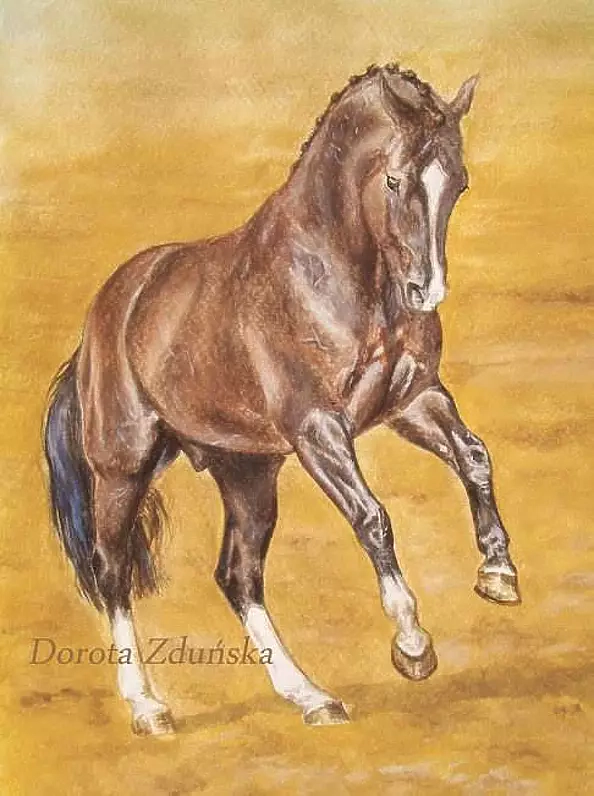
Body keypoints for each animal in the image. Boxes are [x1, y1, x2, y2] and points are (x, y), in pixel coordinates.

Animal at [43, 63, 520, 737]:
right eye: (395, 178)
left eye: (458, 182)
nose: (425, 291)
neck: (336, 275)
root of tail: (103, 322)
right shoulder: (318, 429)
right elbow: (373, 518)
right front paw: (413, 645)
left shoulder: (412, 403)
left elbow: (474, 457)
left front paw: (498, 573)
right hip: (123, 468)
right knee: (112, 571)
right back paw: (148, 708)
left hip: (247, 472)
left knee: (238, 576)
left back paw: (311, 696)